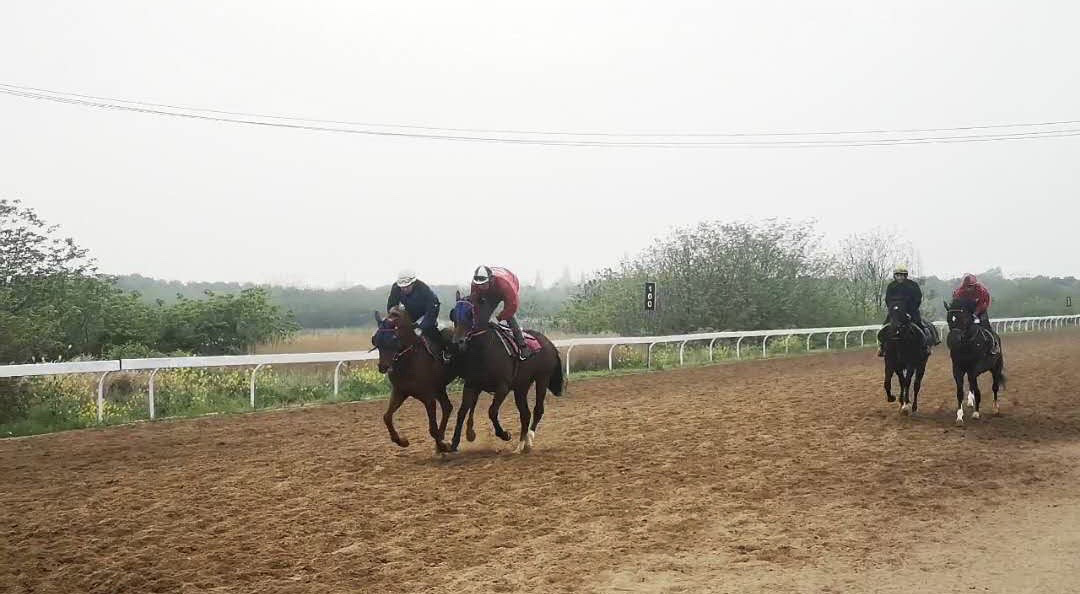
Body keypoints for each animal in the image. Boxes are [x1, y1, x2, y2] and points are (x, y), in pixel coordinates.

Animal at [371, 308, 455, 453]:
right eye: (375, 339)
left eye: (393, 339)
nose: (383, 367)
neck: (410, 360)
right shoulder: (400, 392)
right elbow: (386, 417)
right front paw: (401, 441)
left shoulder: (429, 397)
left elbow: (433, 429)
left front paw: (443, 445)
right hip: (440, 388)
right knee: (447, 407)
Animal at [447, 293, 565, 455]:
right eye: (453, 315)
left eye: (471, 313)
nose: (457, 342)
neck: (484, 349)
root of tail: (549, 344)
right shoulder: (471, 385)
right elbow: (462, 412)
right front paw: (454, 443)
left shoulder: (502, 387)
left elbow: (491, 411)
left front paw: (504, 434)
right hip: (521, 386)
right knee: (525, 414)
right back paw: (520, 445)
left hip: (542, 379)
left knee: (538, 410)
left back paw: (529, 439)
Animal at [946, 298, 1002, 427]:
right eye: (949, 319)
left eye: (963, 319)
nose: (952, 339)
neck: (967, 344)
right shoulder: (958, 369)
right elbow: (960, 392)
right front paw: (959, 417)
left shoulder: (974, 369)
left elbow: (977, 390)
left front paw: (976, 413)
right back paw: (971, 402)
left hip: (996, 367)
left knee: (995, 387)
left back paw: (995, 408)